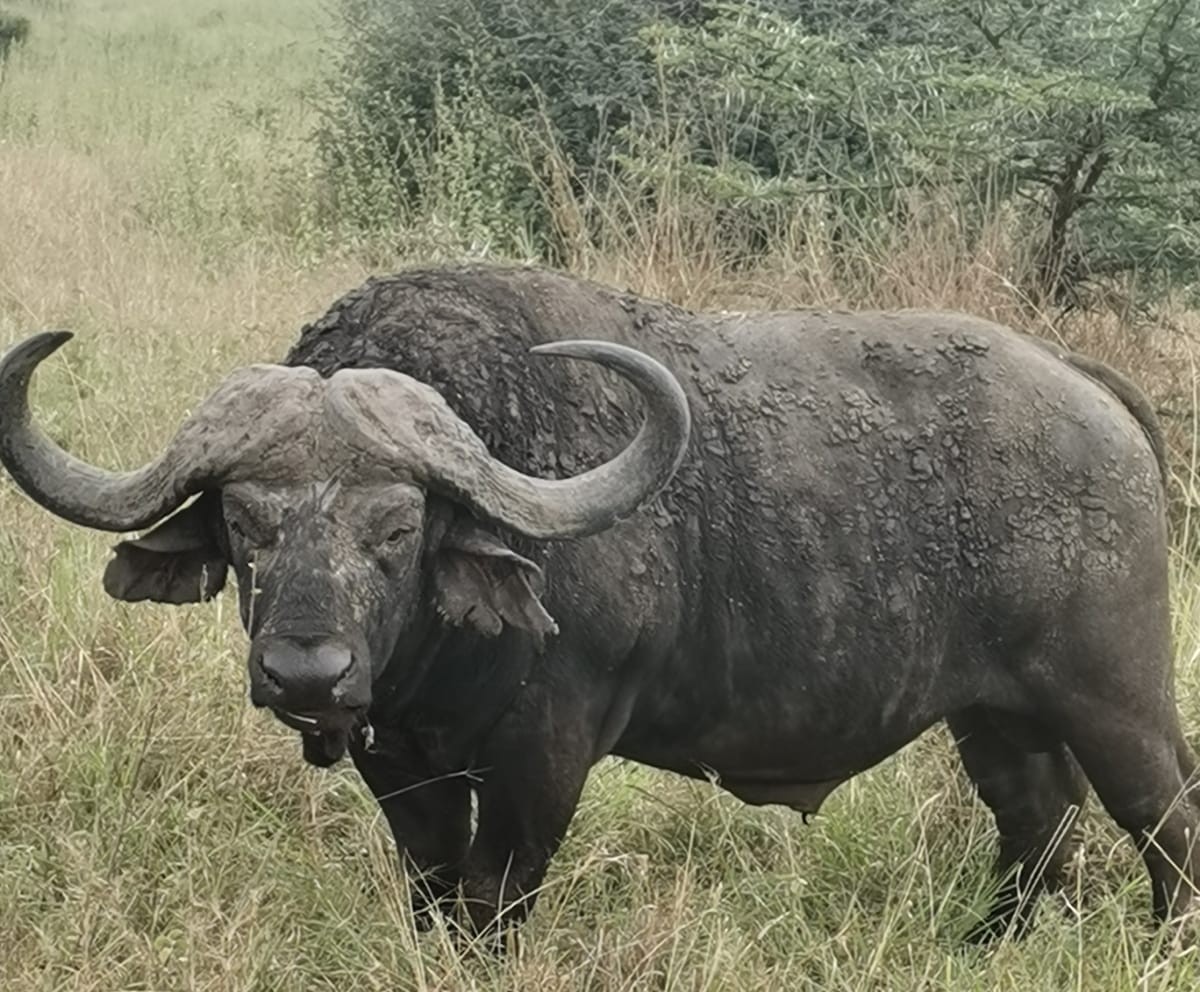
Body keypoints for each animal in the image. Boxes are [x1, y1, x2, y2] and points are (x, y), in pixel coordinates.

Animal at [0, 264, 1195, 943]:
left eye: (398, 528)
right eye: (246, 522)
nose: (307, 671)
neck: (435, 653)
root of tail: (1081, 381)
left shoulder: (545, 757)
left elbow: (495, 897)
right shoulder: (403, 765)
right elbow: (435, 890)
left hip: (1115, 699)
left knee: (1163, 815)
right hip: (992, 714)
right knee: (1037, 818)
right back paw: (988, 943)